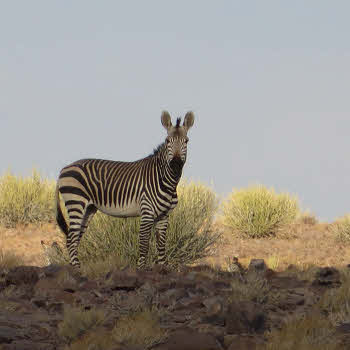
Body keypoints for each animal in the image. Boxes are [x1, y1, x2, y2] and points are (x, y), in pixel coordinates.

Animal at [56, 110, 196, 270]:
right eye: (167, 141)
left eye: (186, 141)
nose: (176, 165)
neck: (165, 180)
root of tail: (64, 169)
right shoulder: (147, 212)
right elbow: (144, 245)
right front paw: (141, 269)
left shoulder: (164, 215)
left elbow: (161, 246)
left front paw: (163, 269)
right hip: (76, 201)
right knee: (70, 239)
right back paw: (77, 270)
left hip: (88, 209)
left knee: (75, 239)